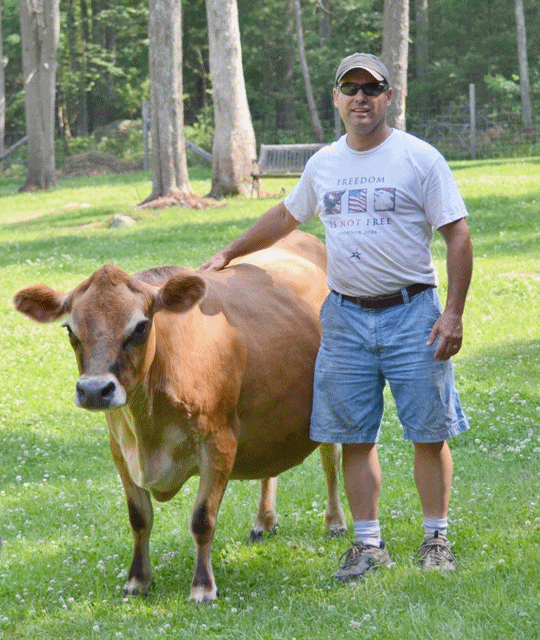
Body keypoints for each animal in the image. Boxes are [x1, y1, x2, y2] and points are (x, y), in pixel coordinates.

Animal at [15, 231, 350, 604]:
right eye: (70, 329)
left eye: (141, 326)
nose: (94, 390)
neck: (147, 428)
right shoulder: (119, 448)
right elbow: (139, 518)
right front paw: (138, 581)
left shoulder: (219, 441)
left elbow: (202, 519)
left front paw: (203, 586)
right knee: (270, 469)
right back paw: (264, 522)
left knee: (331, 459)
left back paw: (335, 522)